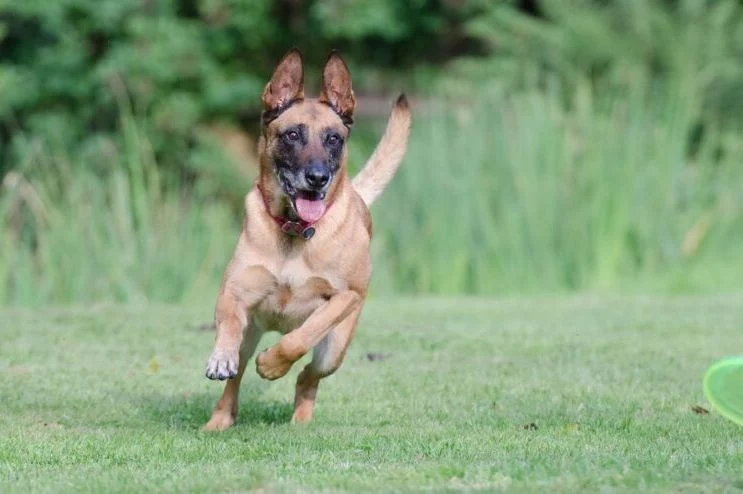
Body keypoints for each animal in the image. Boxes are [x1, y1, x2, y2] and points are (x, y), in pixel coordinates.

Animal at [203, 48, 412, 430]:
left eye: (334, 138)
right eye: (292, 135)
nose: (317, 178)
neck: (294, 231)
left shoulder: (345, 298)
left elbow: (302, 335)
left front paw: (272, 365)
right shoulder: (235, 290)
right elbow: (228, 323)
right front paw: (220, 358)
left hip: (335, 350)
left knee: (307, 376)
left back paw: (299, 418)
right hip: (251, 334)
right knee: (236, 379)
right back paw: (219, 420)